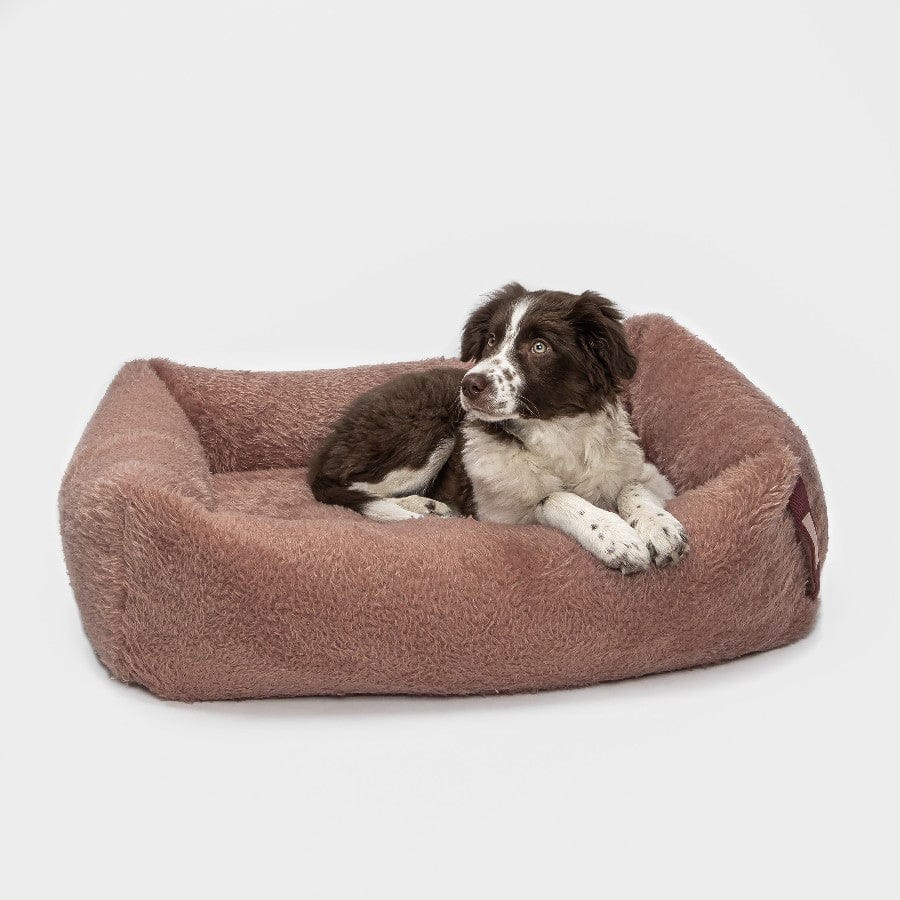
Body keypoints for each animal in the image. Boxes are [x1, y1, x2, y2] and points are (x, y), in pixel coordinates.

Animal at [309, 283, 688, 573]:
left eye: (539, 347)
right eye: (491, 340)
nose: (469, 385)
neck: (556, 430)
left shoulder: (653, 475)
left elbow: (631, 487)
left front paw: (659, 526)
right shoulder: (497, 513)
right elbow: (554, 496)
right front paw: (613, 535)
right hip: (426, 432)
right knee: (350, 487)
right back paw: (418, 508)